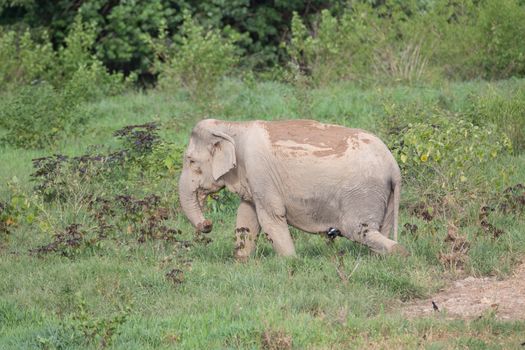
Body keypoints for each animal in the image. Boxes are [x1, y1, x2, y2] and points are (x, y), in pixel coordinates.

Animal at [178, 119, 408, 258]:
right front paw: (241, 262)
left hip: (362, 192)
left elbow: (270, 218)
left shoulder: (260, 173)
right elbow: (246, 216)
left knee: (359, 231)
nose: (208, 224)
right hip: (383, 194)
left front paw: (290, 261)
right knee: (379, 229)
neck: (232, 126)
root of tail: (394, 166)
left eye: (191, 161)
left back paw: (398, 252)